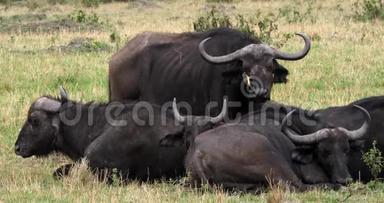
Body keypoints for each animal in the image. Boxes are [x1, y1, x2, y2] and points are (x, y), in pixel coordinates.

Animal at [163, 100, 372, 192]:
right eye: (324, 151)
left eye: (346, 150)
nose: (344, 179)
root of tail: (199, 153)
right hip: (275, 163)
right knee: (297, 187)